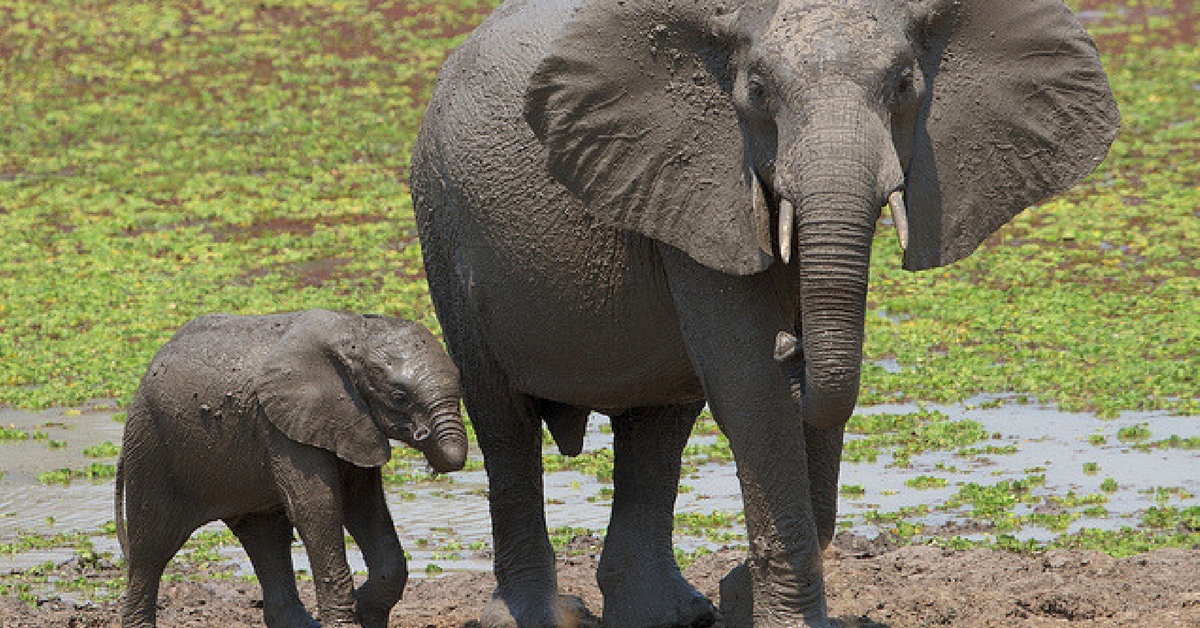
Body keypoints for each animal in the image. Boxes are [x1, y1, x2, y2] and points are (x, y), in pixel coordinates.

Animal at [115, 309, 463, 628]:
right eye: (399, 396)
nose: (425, 438)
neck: (355, 332)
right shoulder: (284, 426)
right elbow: (318, 509)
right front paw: (353, 615)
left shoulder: (351, 423)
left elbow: (363, 506)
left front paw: (365, 611)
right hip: (150, 446)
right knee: (151, 549)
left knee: (266, 537)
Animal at [410, 0, 1113, 624]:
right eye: (755, 90)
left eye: (906, 85)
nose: (792, 347)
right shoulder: (696, 177)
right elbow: (748, 386)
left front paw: (744, 597)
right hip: (441, 221)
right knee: (504, 423)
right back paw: (537, 615)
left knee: (657, 429)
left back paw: (671, 615)